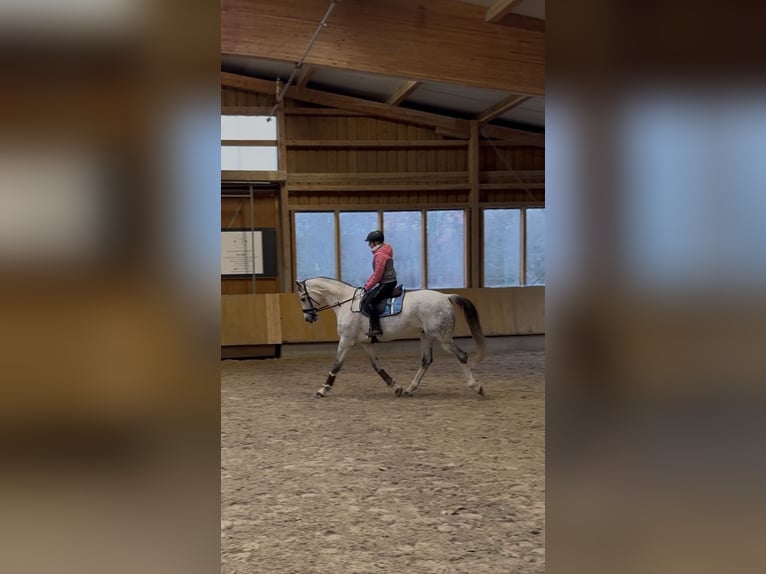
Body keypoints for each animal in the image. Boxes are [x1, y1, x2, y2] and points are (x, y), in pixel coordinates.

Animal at [294, 280, 486, 400]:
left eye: (303, 298)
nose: (308, 318)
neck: (345, 302)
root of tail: (446, 297)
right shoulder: (366, 343)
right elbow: (377, 367)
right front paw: (396, 387)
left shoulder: (346, 341)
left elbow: (336, 366)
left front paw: (322, 390)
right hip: (426, 336)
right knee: (426, 361)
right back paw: (409, 389)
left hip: (443, 338)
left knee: (461, 356)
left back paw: (476, 387)